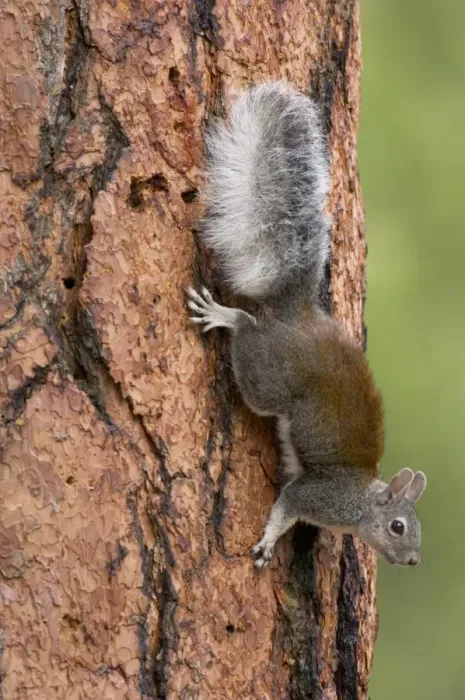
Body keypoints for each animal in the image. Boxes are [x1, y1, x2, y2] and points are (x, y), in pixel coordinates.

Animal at [187, 81, 427, 569]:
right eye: (398, 526)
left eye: (420, 530)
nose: (413, 560)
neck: (360, 501)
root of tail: (301, 317)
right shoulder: (315, 496)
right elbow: (286, 507)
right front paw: (267, 542)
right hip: (268, 378)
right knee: (248, 331)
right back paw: (226, 315)